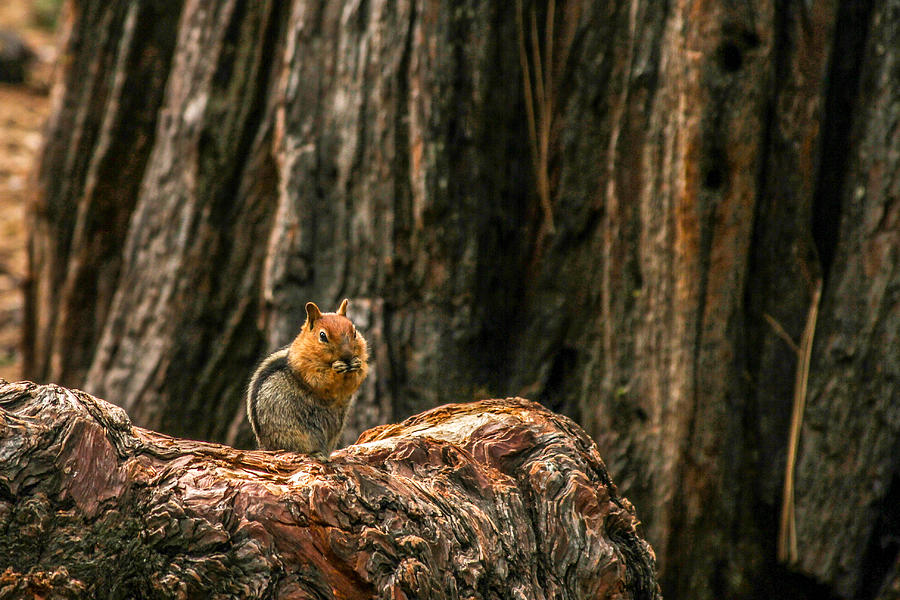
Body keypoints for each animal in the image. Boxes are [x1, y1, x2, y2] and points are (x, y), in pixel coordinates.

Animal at [246, 299, 368, 458]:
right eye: (322, 336)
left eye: (354, 332)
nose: (347, 356)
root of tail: (266, 447)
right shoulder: (305, 368)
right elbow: (321, 380)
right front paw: (336, 369)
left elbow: (357, 379)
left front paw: (356, 364)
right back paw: (317, 454)